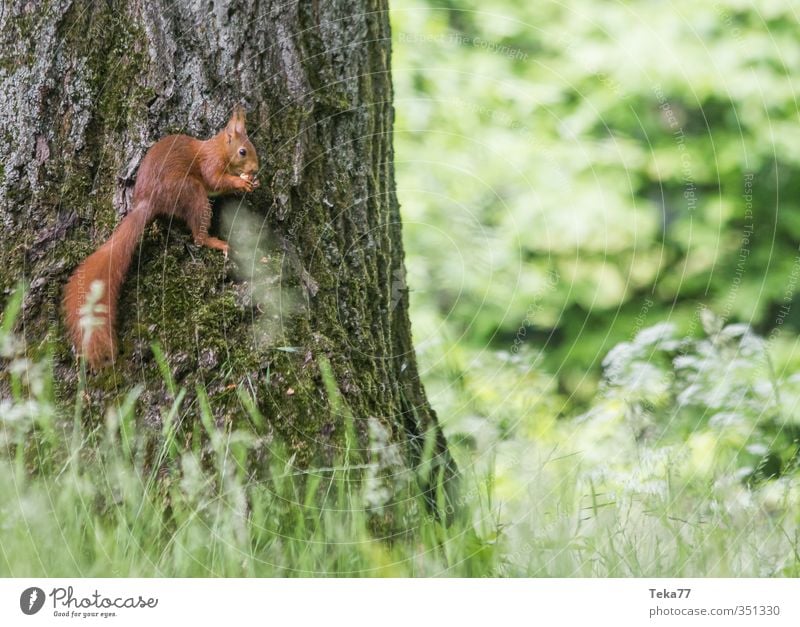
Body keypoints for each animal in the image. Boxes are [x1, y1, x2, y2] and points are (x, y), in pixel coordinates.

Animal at [65, 106, 260, 370]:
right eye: (242, 151)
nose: (255, 169)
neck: (218, 148)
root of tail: (149, 200)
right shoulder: (210, 164)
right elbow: (216, 179)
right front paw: (241, 181)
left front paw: (251, 181)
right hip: (190, 192)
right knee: (198, 235)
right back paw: (215, 242)